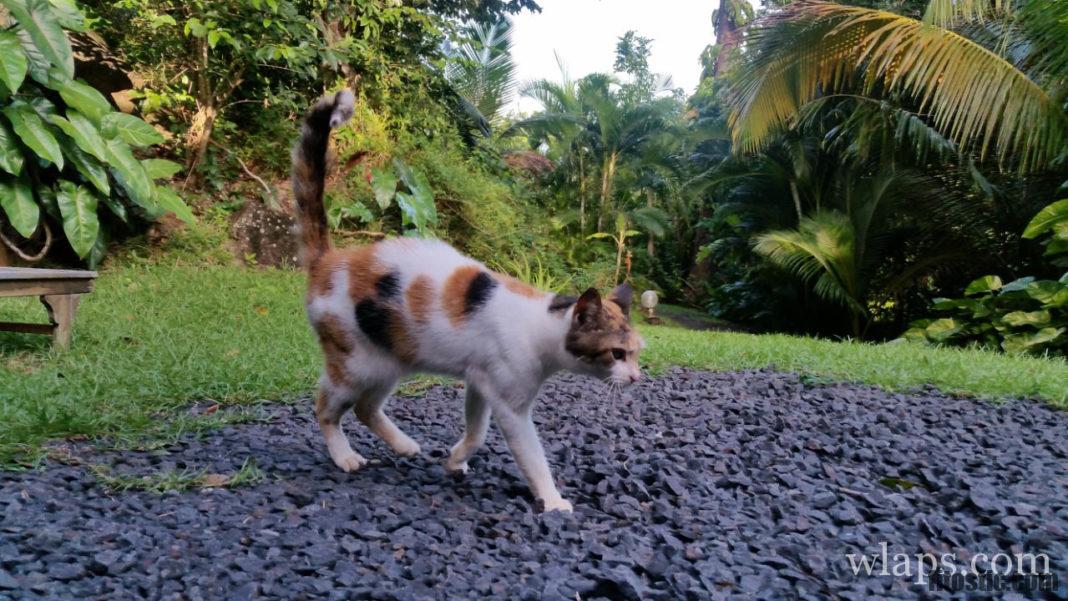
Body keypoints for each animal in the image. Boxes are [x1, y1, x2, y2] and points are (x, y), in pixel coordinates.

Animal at [292, 90, 640, 512]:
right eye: (617, 354)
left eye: (636, 353)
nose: (637, 377)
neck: (543, 326)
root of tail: (330, 259)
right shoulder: (510, 405)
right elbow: (531, 456)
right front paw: (553, 501)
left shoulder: (480, 383)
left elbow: (476, 433)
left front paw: (455, 460)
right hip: (356, 362)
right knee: (326, 407)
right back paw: (345, 456)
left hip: (388, 359)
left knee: (366, 407)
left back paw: (405, 446)